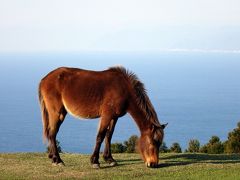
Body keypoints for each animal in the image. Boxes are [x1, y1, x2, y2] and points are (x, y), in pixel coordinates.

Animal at [39, 66, 167, 169]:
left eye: (159, 143)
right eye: (152, 142)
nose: (153, 164)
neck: (123, 89)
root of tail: (44, 79)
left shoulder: (114, 117)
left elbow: (109, 136)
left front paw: (109, 159)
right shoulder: (106, 116)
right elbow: (100, 136)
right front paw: (95, 161)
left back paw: (52, 157)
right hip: (57, 113)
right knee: (52, 133)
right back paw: (58, 160)